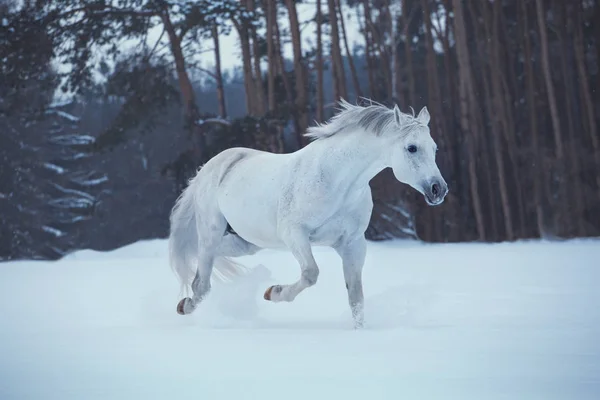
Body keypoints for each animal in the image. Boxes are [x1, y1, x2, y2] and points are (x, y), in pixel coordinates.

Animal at [166, 98, 448, 326]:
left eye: (434, 149)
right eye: (411, 147)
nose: (439, 190)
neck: (337, 182)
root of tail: (210, 166)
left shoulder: (353, 244)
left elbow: (356, 297)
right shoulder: (295, 234)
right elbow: (311, 274)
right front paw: (273, 293)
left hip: (248, 243)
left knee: (204, 260)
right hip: (212, 230)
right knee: (201, 280)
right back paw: (186, 306)